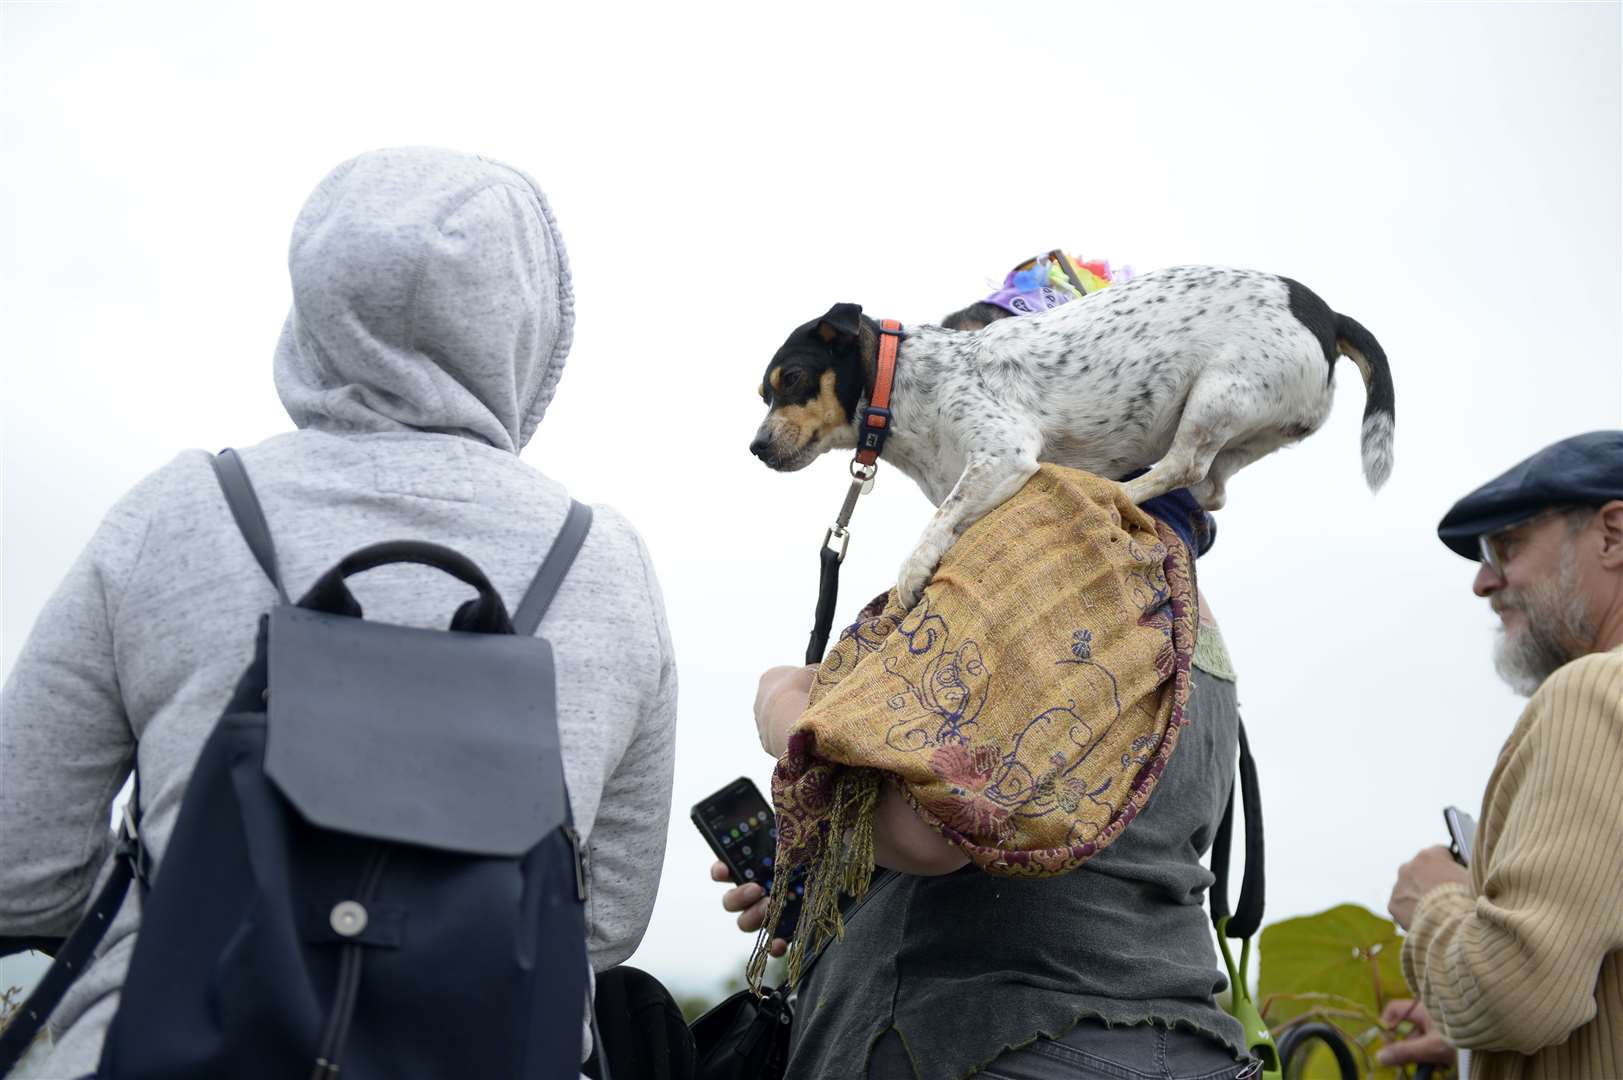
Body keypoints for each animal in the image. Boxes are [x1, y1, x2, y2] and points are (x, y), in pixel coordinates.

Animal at [746, 264, 1395, 607]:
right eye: (762, 394)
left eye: (792, 378)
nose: (755, 447)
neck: (900, 382)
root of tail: (1327, 314)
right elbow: (950, 515)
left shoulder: (1003, 453)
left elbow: (938, 522)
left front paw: (911, 573)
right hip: (1243, 424)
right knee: (1209, 488)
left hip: (1216, 394)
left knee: (1182, 467)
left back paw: (1112, 490)